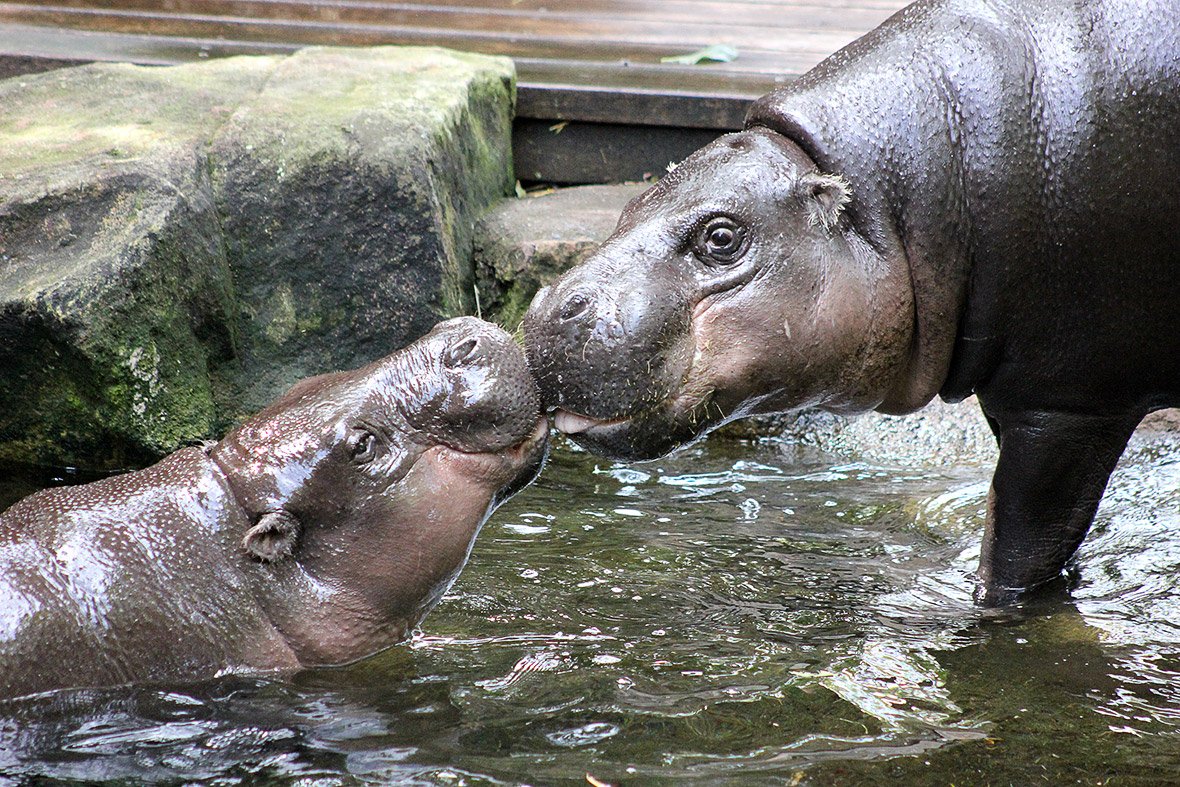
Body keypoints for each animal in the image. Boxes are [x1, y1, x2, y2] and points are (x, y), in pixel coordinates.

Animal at [524, 0, 1180, 605]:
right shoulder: (1016, 398)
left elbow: (1020, 547)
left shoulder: (1066, 406)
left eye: (721, 237)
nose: (553, 308)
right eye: (631, 205)